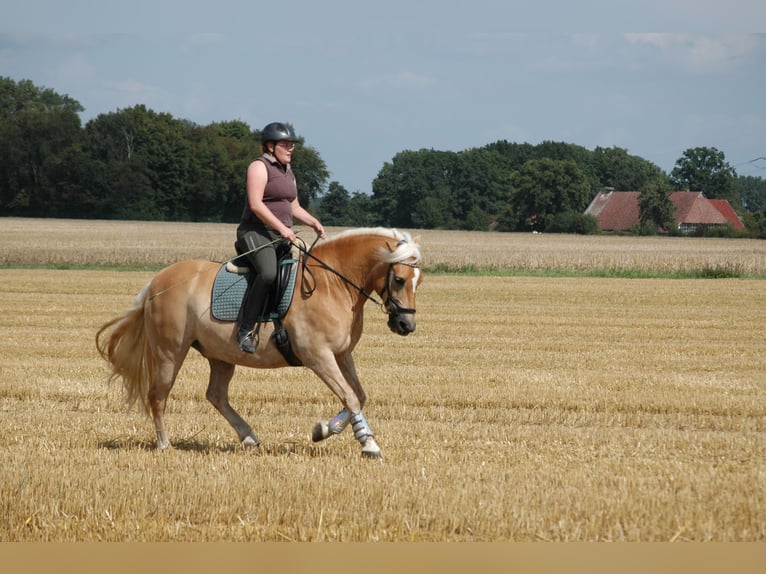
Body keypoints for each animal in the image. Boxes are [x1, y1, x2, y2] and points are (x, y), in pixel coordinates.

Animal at [95, 227, 423, 458]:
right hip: (170, 353)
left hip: (220, 355)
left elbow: (358, 396)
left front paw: (325, 429)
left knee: (216, 395)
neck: (334, 285)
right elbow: (350, 397)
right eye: (400, 280)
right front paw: (368, 443)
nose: (406, 326)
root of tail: (156, 281)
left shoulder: (341, 355)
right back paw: (165, 444)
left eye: (418, 281)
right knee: (158, 395)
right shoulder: (319, 357)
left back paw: (249, 437)